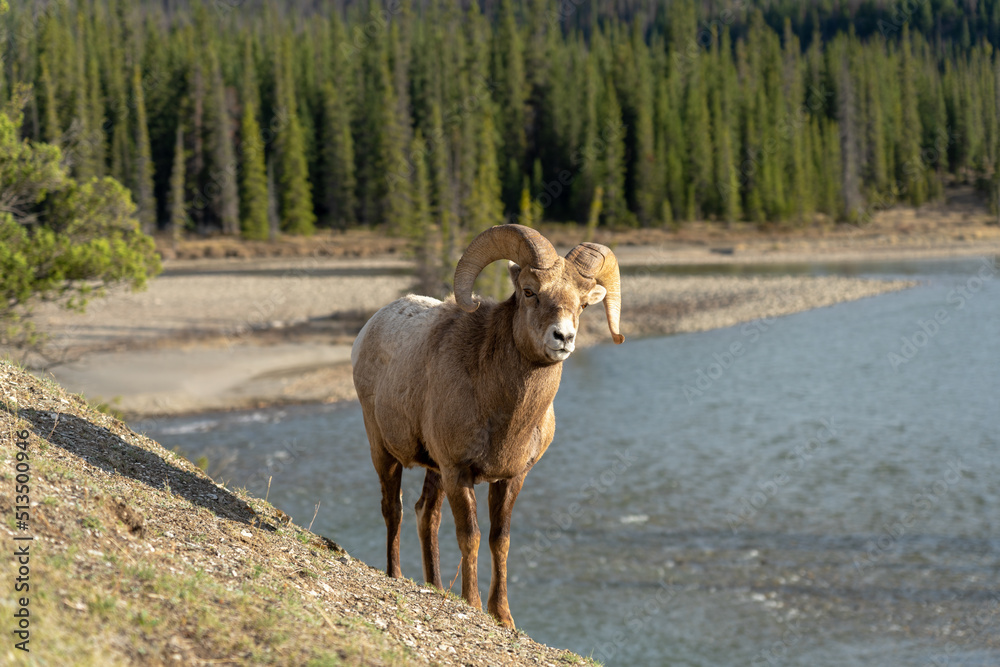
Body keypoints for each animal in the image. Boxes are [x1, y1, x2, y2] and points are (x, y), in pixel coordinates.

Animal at [351, 223, 624, 628]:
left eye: (583, 303)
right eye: (529, 291)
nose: (563, 338)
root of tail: (370, 327)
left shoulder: (510, 477)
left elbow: (500, 540)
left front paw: (504, 616)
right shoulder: (459, 472)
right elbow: (471, 536)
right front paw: (474, 604)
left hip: (433, 471)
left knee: (425, 515)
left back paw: (435, 586)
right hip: (384, 451)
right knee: (393, 509)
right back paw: (395, 574)